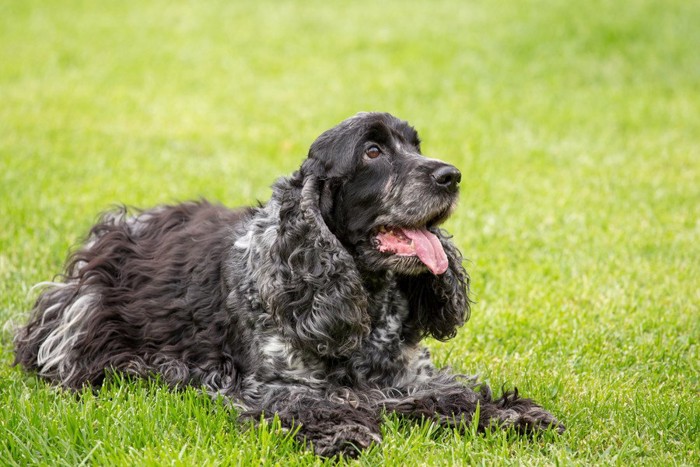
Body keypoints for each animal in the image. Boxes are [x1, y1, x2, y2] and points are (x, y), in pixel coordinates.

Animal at [15, 112, 564, 458]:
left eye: (416, 146)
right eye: (372, 151)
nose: (452, 176)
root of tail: (117, 229)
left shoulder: (411, 375)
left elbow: (457, 394)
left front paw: (517, 416)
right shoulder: (273, 386)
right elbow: (317, 406)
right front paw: (344, 436)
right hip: (84, 320)